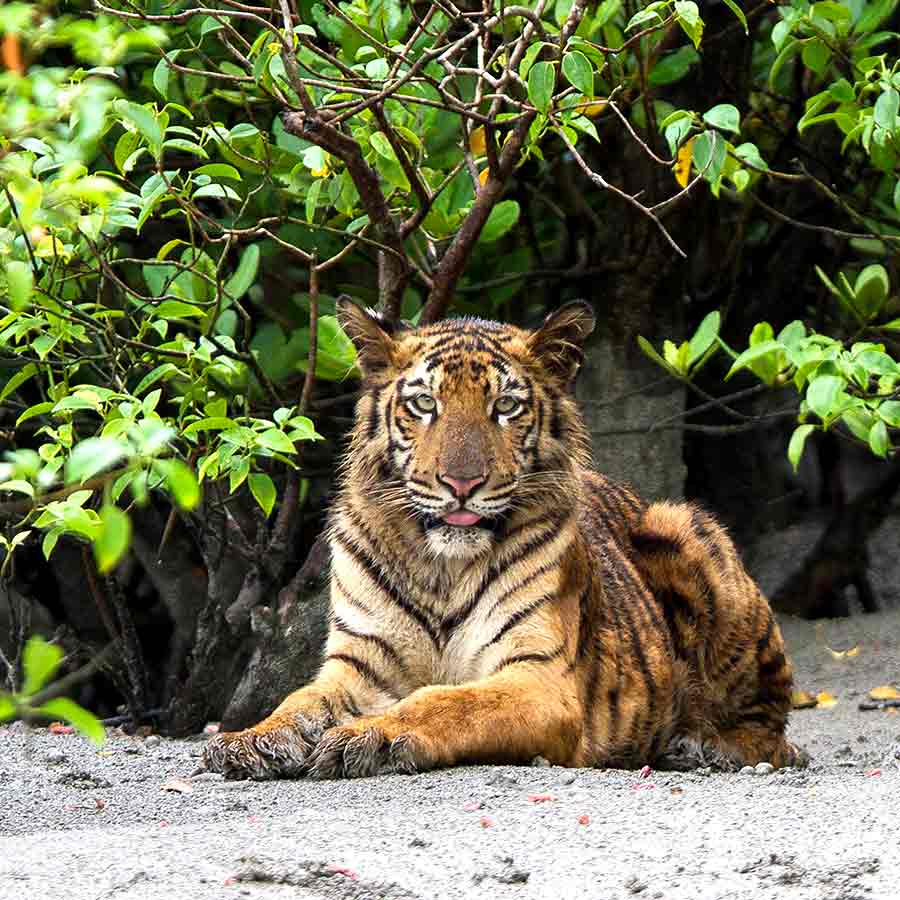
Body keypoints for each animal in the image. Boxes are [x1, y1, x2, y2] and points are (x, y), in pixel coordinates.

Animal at [203, 298, 806, 780]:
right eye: (425, 404)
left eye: (506, 406)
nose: (461, 484)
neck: (440, 570)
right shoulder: (357, 664)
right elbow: (299, 700)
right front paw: (249, 740)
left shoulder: (539, 677)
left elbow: (444, 702)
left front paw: (367, 736)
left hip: (684, 528)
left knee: (772, 726)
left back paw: (705, 746)